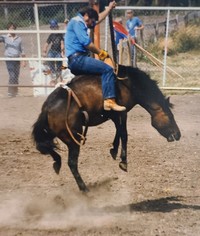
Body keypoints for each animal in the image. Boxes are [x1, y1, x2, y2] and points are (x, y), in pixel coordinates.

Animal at [32, 64, 180, 192]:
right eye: (170, 116)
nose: (178, 134)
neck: (128, 84)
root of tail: (47, 108)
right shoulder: (122, 112)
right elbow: (124, 134)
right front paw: (123, 161)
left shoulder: (113, 114)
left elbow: (119, 131)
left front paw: (113, 149)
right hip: (72, 139)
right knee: (71, 163)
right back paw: (84, 188)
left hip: (53, 133)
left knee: (44, 146)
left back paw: (57, 162)